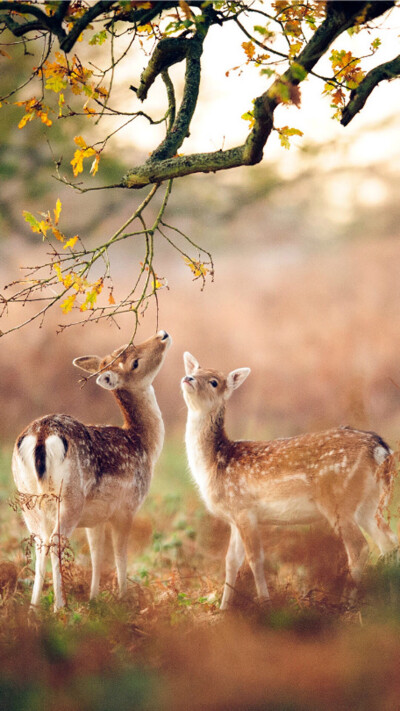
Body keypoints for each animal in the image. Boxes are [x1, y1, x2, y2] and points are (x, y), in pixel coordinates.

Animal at [11, 330, 171, 608]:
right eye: (134, 362)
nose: (162, 334)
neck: (145, 445)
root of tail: (41, 435)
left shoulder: (96, 518)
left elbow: (96, 554)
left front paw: (94, 598)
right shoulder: (127, 507)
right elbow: (119, 554)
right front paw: (123, 598)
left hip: (27, 498)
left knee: (40, 541)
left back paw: (34, 607)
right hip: (70, 497)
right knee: (55, 541)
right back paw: (59, 606)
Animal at [182, 354, 400, 608]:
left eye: (214, 381)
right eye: (194, 371)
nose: (187, 378)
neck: (215, 465)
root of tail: (381, 450)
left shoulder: (244, 509)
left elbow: (255, 558)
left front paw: (265, 604)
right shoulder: (234, 517)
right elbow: (231, 561)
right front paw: (224, 608)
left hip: (338, 500)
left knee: (359, 547)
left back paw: (345, 603)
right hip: (370, 504)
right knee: (389, 542)